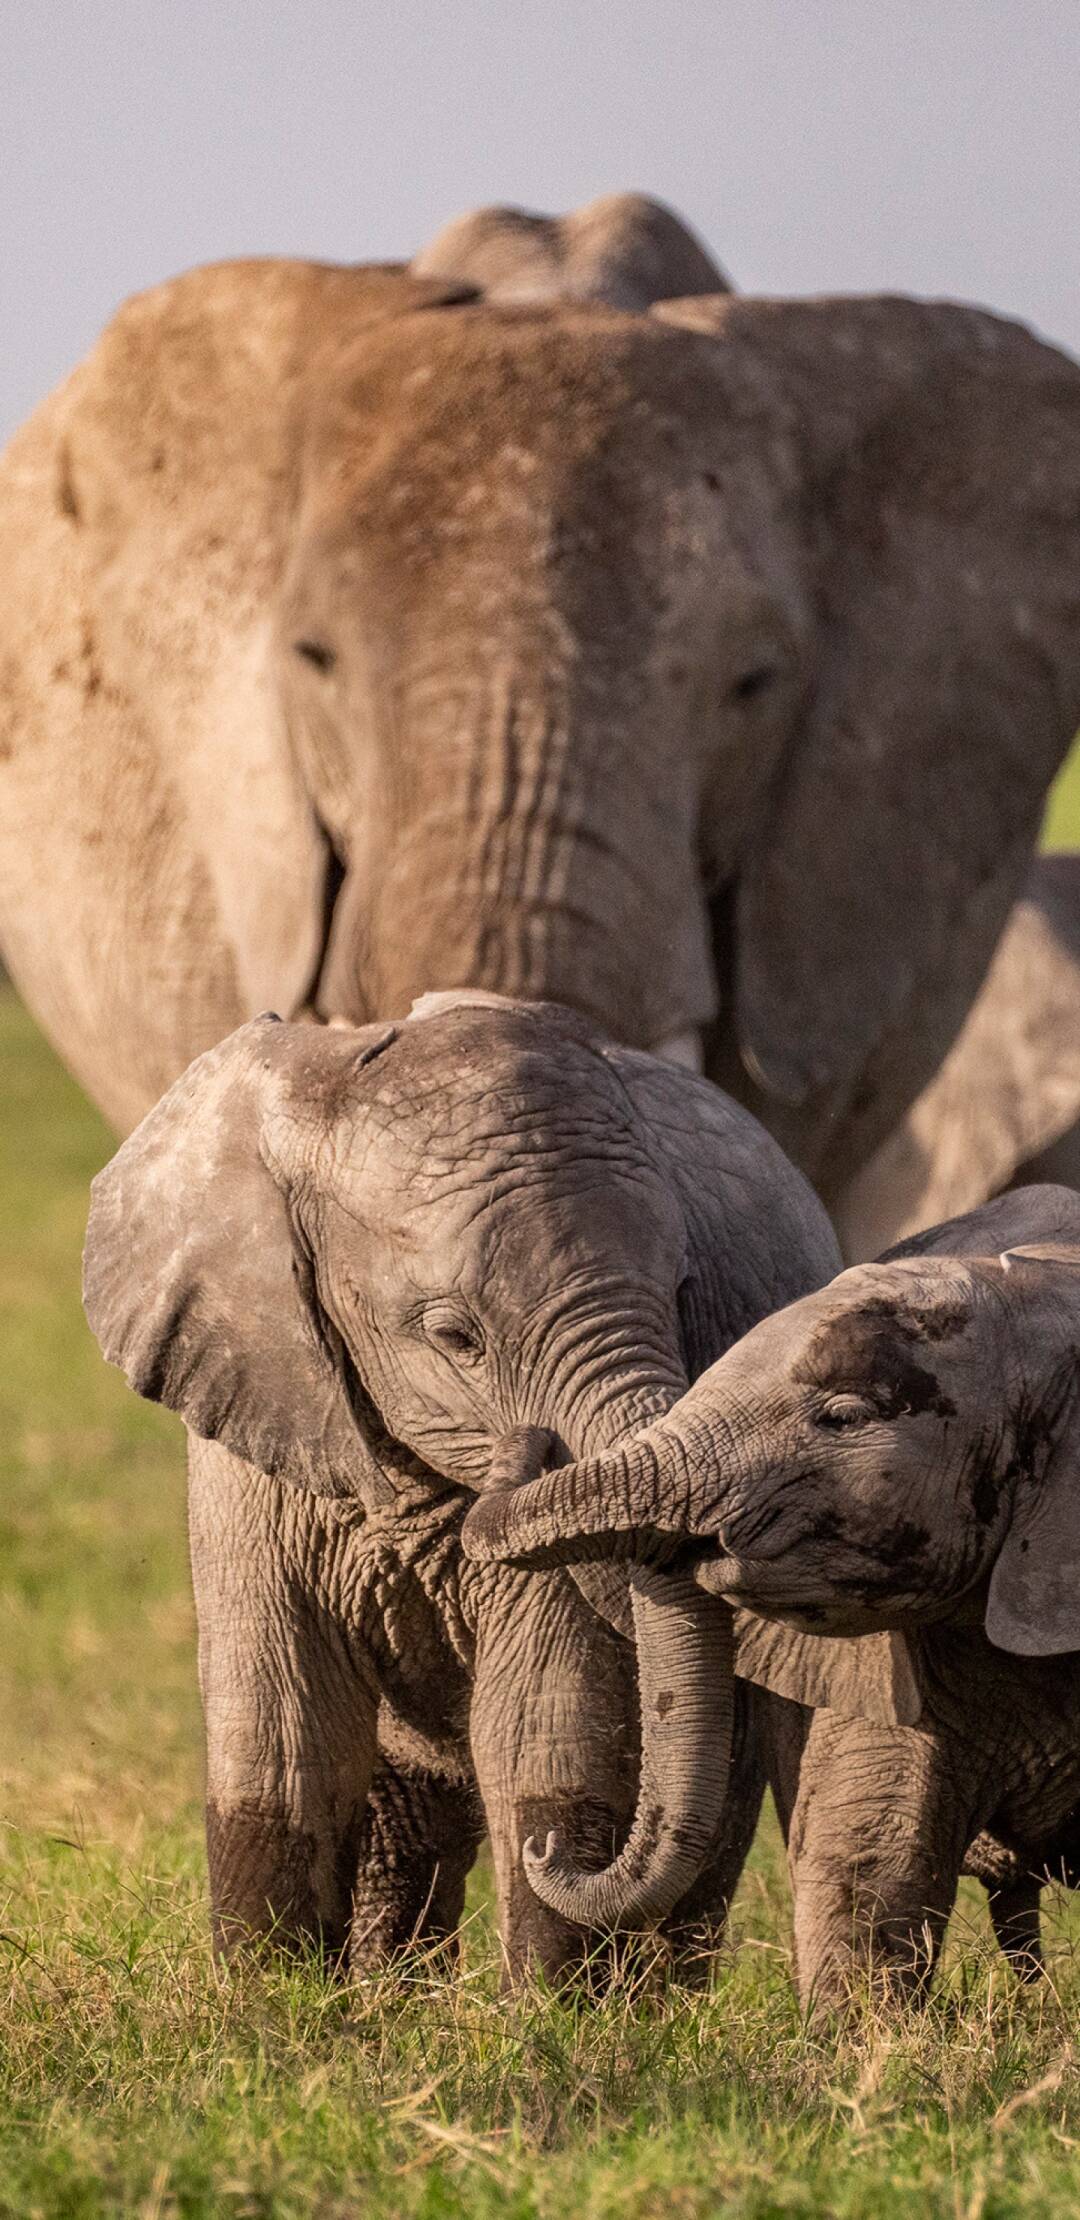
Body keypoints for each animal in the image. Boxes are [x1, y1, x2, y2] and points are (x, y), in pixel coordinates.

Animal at [84, 990, 835, 1980]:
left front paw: (552, 2009)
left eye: (683, 1291)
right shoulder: (250, 1413)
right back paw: (390, 1991)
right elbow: (282, 1731)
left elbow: (543, 1731)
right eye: (455, 1337)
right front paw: (268, 2004)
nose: (530, 1452)